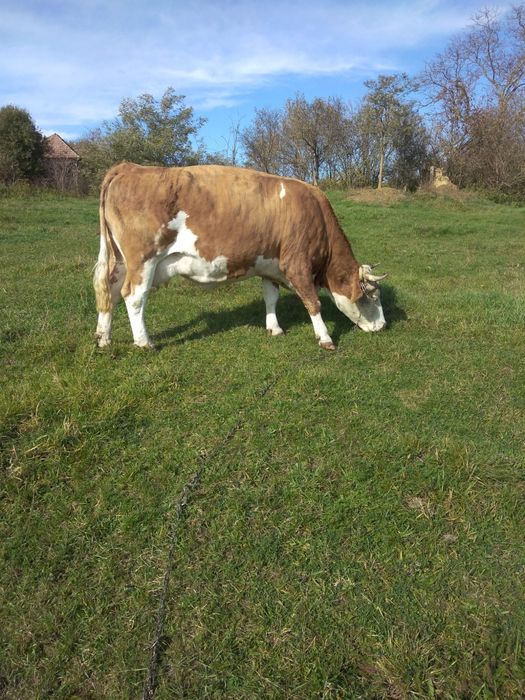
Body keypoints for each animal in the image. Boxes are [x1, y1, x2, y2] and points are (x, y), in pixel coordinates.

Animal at [93, 163, 387, 351]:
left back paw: (104, 338)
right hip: (143, 260)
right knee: (133, 297)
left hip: (121, 262)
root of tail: (130, 167)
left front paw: (274, 328)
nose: (383, 326)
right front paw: (325, 338)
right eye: (372, 296)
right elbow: (313, 302)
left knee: (110, 291)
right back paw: (144, 342)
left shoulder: (269, 265)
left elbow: (271, 298)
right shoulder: (296, 264)